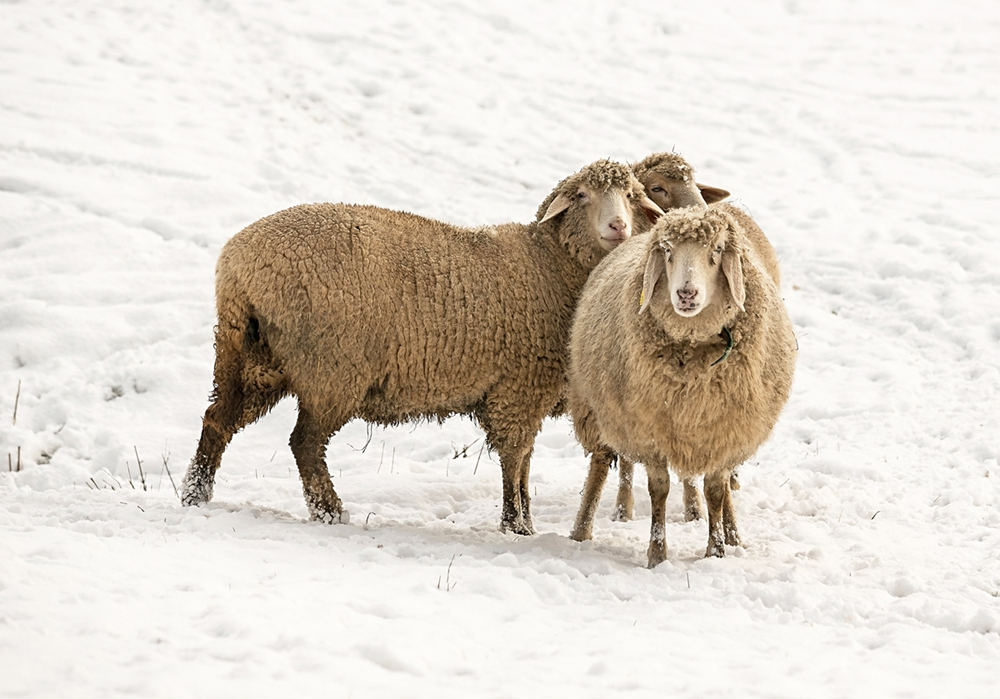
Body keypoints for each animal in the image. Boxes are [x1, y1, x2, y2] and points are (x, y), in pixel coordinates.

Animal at [180, 161, 664, 540]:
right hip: (331, 366)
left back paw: (194, 493)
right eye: (582, 195)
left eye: (631, 196)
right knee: (305, 444)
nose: (618, 227)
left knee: (218, 421)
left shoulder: (526, 391)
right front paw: (517, 525)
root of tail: (239, 265)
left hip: (250, 356)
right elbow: (514, 459)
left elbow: (524, 462)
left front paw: (524, 518)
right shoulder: (518, 387)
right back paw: (330, 512)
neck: (549, 264)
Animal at [572, 205, 796, 568]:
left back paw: (732, 535)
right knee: (603, 464)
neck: (692, 345)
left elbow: (716, 491)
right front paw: (657, 554)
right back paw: (583, 529)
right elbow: (659, 489)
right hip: (601, 412)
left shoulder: (722, 433)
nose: (686, 293)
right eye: (666, 250)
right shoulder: (650, 432)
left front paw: (716, 551)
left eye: (716, 250)